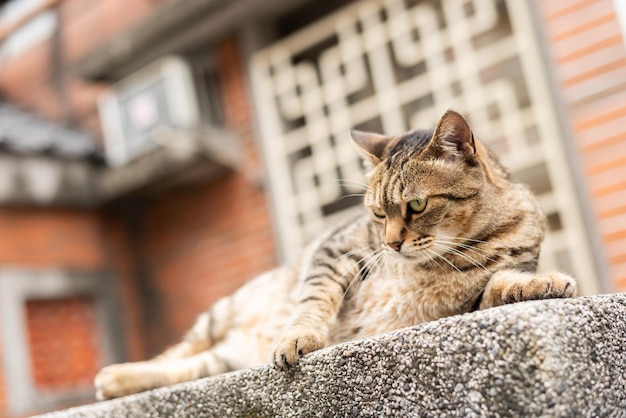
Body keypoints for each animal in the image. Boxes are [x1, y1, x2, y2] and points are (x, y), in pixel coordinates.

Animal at [94, 109, 576, 400]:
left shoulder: (467, 304)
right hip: (217, 316)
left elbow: (504, 282)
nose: (392, 243)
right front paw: (296, 339)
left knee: (190, 366)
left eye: (417, 205)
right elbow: (312, 299)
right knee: (176, 353)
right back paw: (114, 376)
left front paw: (544, 283)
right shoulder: (336, 250)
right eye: (378, 213)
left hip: (219, 355)